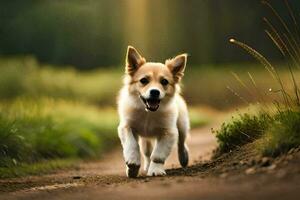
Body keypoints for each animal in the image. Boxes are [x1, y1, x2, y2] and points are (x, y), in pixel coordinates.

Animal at [117, 46, 190, 177]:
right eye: (144, 80)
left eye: (164, 82)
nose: (155, 92)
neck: (148, 114)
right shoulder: (126, 126)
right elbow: (132, 144)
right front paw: (132, 164)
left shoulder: (169, 132)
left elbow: (158, 155)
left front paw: (156, 170)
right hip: (146, 139)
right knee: (146, 153)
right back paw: (145, 166)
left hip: (182, 125)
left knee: (181, 143)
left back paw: (184, 157)